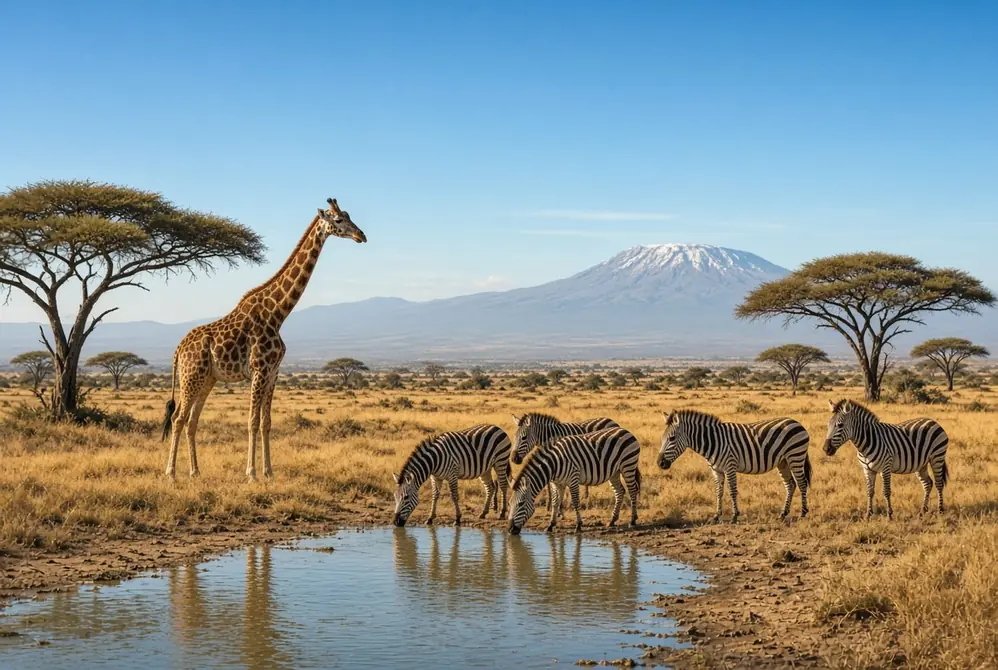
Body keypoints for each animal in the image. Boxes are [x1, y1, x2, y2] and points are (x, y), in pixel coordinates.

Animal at [162, 198, 366, 480]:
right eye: (338, 220)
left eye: (349, 215)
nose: (361, 235)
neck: (278, 313)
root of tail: (178, 349)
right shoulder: (259, 371)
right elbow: (251, 422)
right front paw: (251, 472)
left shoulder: (273, 374)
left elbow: (266, 423)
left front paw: (268, 471)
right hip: (190, 377)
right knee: (178, 418)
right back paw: (171, 473)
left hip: (207, 379)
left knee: (192, 421)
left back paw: (195, 472)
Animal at [508, 426, 641, 535]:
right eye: (509, 503)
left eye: (521, 504)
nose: (510, 530)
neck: (554, 464)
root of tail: (626, 431)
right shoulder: (557, 483)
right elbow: (555, 502)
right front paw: (551, 525)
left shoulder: (573, 479)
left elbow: (576, 502)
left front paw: (578, 525)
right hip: (614, 472)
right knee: (620, 492)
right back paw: (612, 520)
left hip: (628, 465)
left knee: (632, 491)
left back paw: (633, 520)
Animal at [657, 409, 812, 523]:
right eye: (662, 439)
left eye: (671, 438)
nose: (659, 463)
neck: (713, 441)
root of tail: (796, 422)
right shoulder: (716, 470)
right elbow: (719, 492)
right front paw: (716, 516)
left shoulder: (729, 466)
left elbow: (732, 491)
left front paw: (734, 516)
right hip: (783, 462)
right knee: (790, 484)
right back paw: (783, 514)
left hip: (795, 456)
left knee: (802, 483)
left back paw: (803, 513)